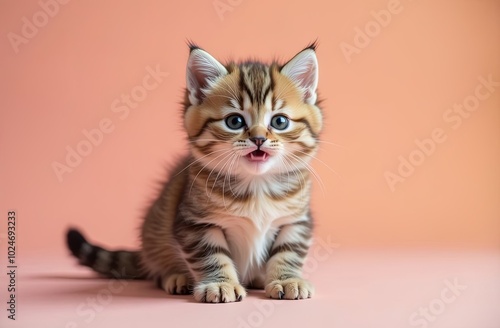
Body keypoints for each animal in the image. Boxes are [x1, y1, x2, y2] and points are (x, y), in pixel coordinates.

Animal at [66, 42, 322, 304]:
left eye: (280, 122)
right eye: (234, 121)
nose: (259, 139)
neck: (256, 184)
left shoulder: (296, 221)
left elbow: (288, 251)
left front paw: (287, 279)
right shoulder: (194, 222)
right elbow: (211, 255)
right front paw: (220, 284)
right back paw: (177, 277)